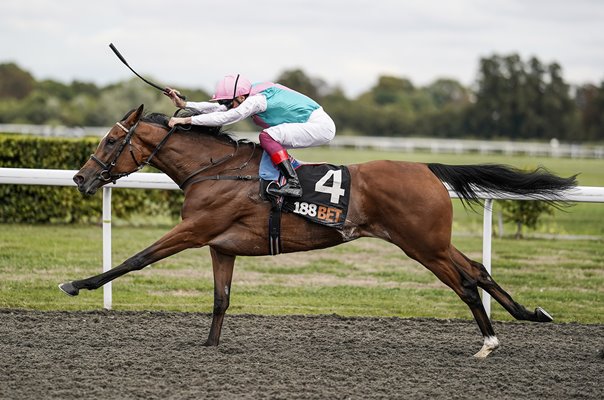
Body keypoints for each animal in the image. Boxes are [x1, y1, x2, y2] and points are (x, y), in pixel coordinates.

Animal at [59, 104, 580, 358]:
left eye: (111, 139)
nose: (80, 179)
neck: (217, 169)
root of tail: (427, 168)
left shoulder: (194, 230)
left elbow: (136, 259)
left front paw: (77, 283)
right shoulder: (221, 246)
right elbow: (221, 299)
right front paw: (209, 346)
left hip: (422, 246)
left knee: (467, 283)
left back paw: (488, 343)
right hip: (432, 242)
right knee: (478, 269)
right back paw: (529, 314)